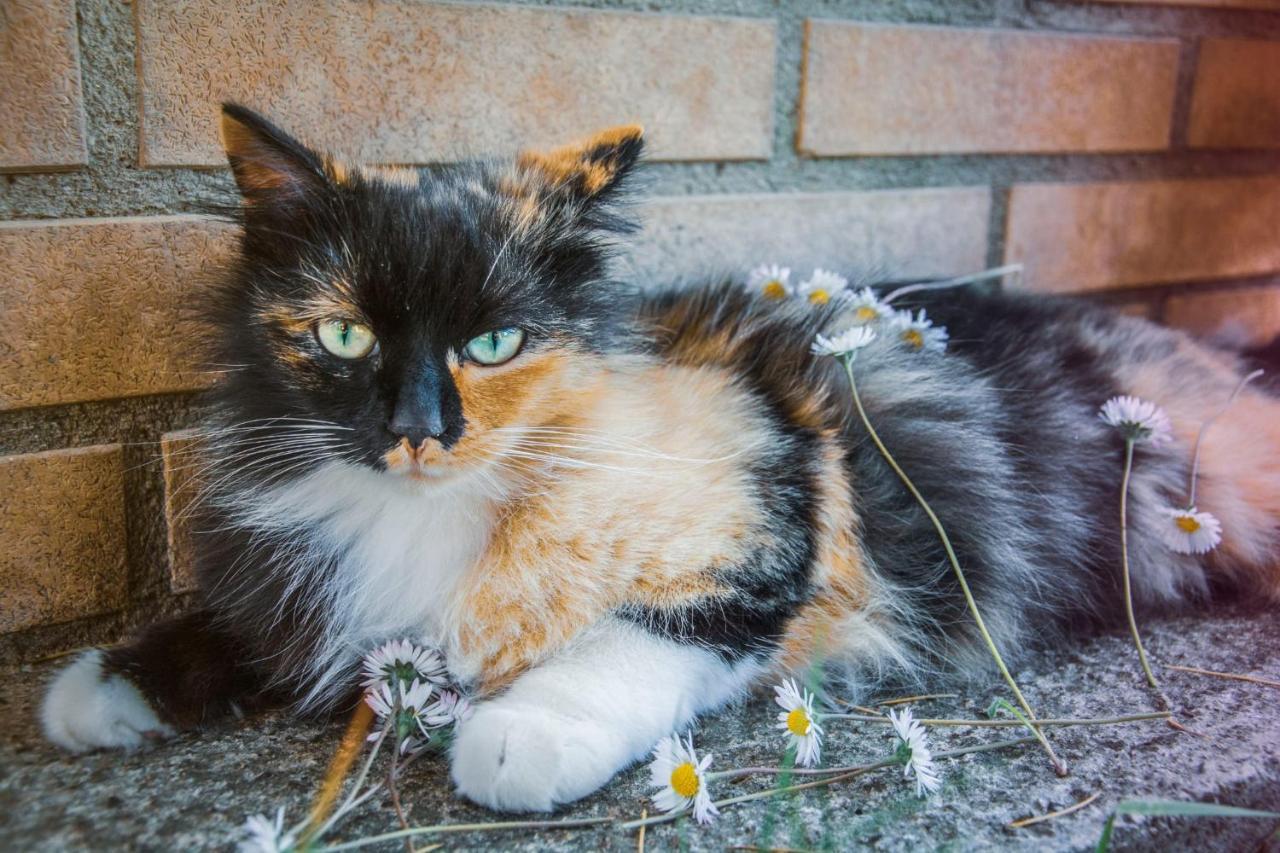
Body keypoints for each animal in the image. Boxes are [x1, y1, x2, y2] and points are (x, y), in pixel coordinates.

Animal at [40, 103, 1280, 809]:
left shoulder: (765, 527)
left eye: (495, 343)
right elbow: (241, 627)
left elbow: (636, 640)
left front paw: (520, 735)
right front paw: (103, 688)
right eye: (345, 336)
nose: (419, 428)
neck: (442, 505)